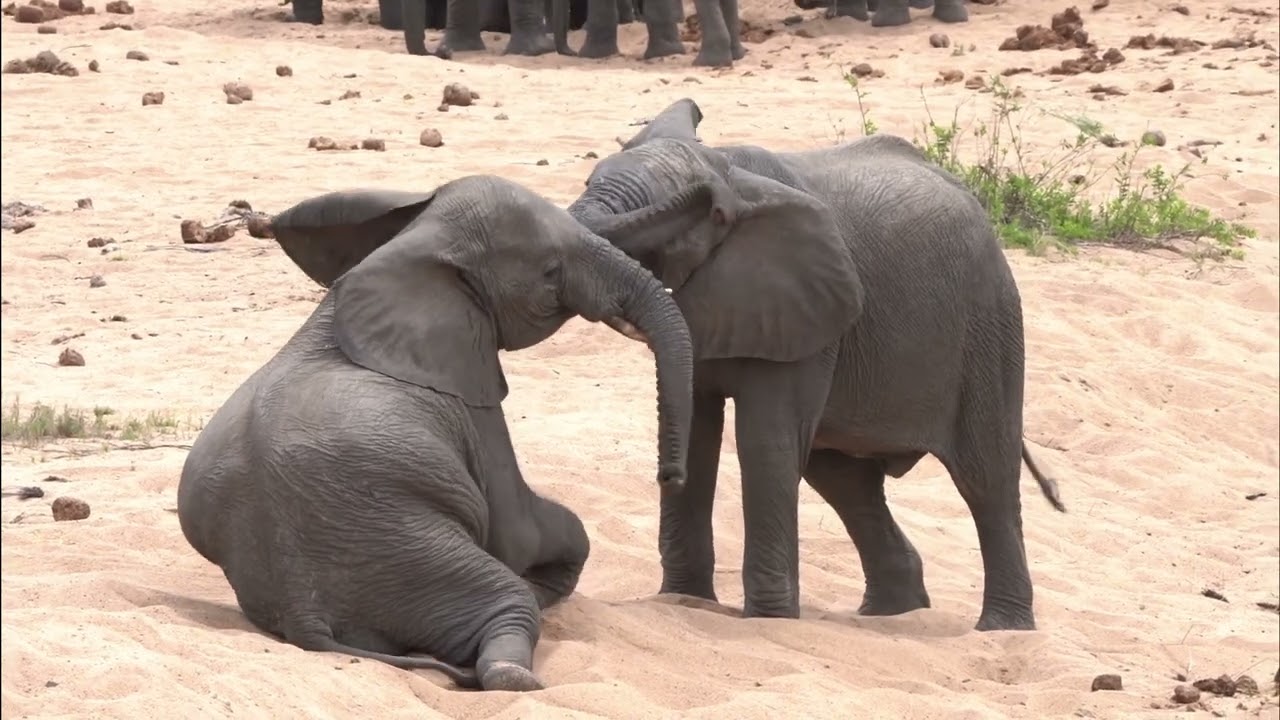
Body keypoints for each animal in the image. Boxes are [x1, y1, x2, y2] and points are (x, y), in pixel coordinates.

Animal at [176, 175, 696, 691]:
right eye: (550, 271)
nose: (671, 476)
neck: (414, 248)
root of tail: (302, 613)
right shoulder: (471, 398)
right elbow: (519, 529)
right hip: (406, 552)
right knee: (508, 600)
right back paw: (517, 674)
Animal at [565, 98, 1066, 632]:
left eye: (706, 218)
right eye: (589, 181)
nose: (665, 475)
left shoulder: (810, 315)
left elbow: (765, 443)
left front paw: (768, 622)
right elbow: (699, 432)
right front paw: (683, 602)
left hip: (987, 326)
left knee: (985, 478)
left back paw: (1003, 630)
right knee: (844, 479)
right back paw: (890, 615)